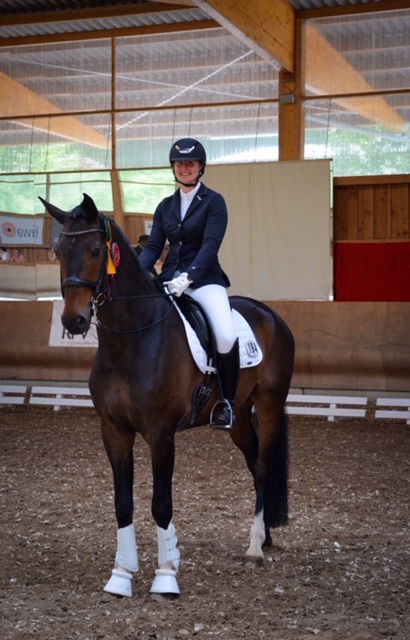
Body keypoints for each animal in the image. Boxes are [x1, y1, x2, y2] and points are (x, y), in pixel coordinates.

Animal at [40, 192, 294, 596]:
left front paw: (165, 576)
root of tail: (270, 314)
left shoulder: (160, 435)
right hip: (237, 414)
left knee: (264, 466)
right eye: (59, 251)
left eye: (96, 250)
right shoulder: (114, 431)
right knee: (254, 461)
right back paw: (265, 536)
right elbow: (123, 502)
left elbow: (161, 503)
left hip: (269, 404)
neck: (132, 339)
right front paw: (121, 575)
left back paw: (255, 548)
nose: (73, 321)